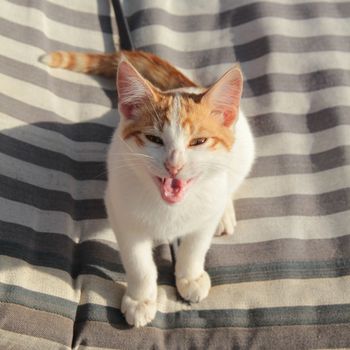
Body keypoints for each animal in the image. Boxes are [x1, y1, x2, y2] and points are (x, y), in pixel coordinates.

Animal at [40, 50, 254, 328]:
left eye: (198, 141)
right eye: (154, 139)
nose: (174, 165)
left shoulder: (205, 211)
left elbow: (196, 244)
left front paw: (190, 276)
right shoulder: (120, 209)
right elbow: (138, 261)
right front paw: (140, 299)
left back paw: (225, 212)